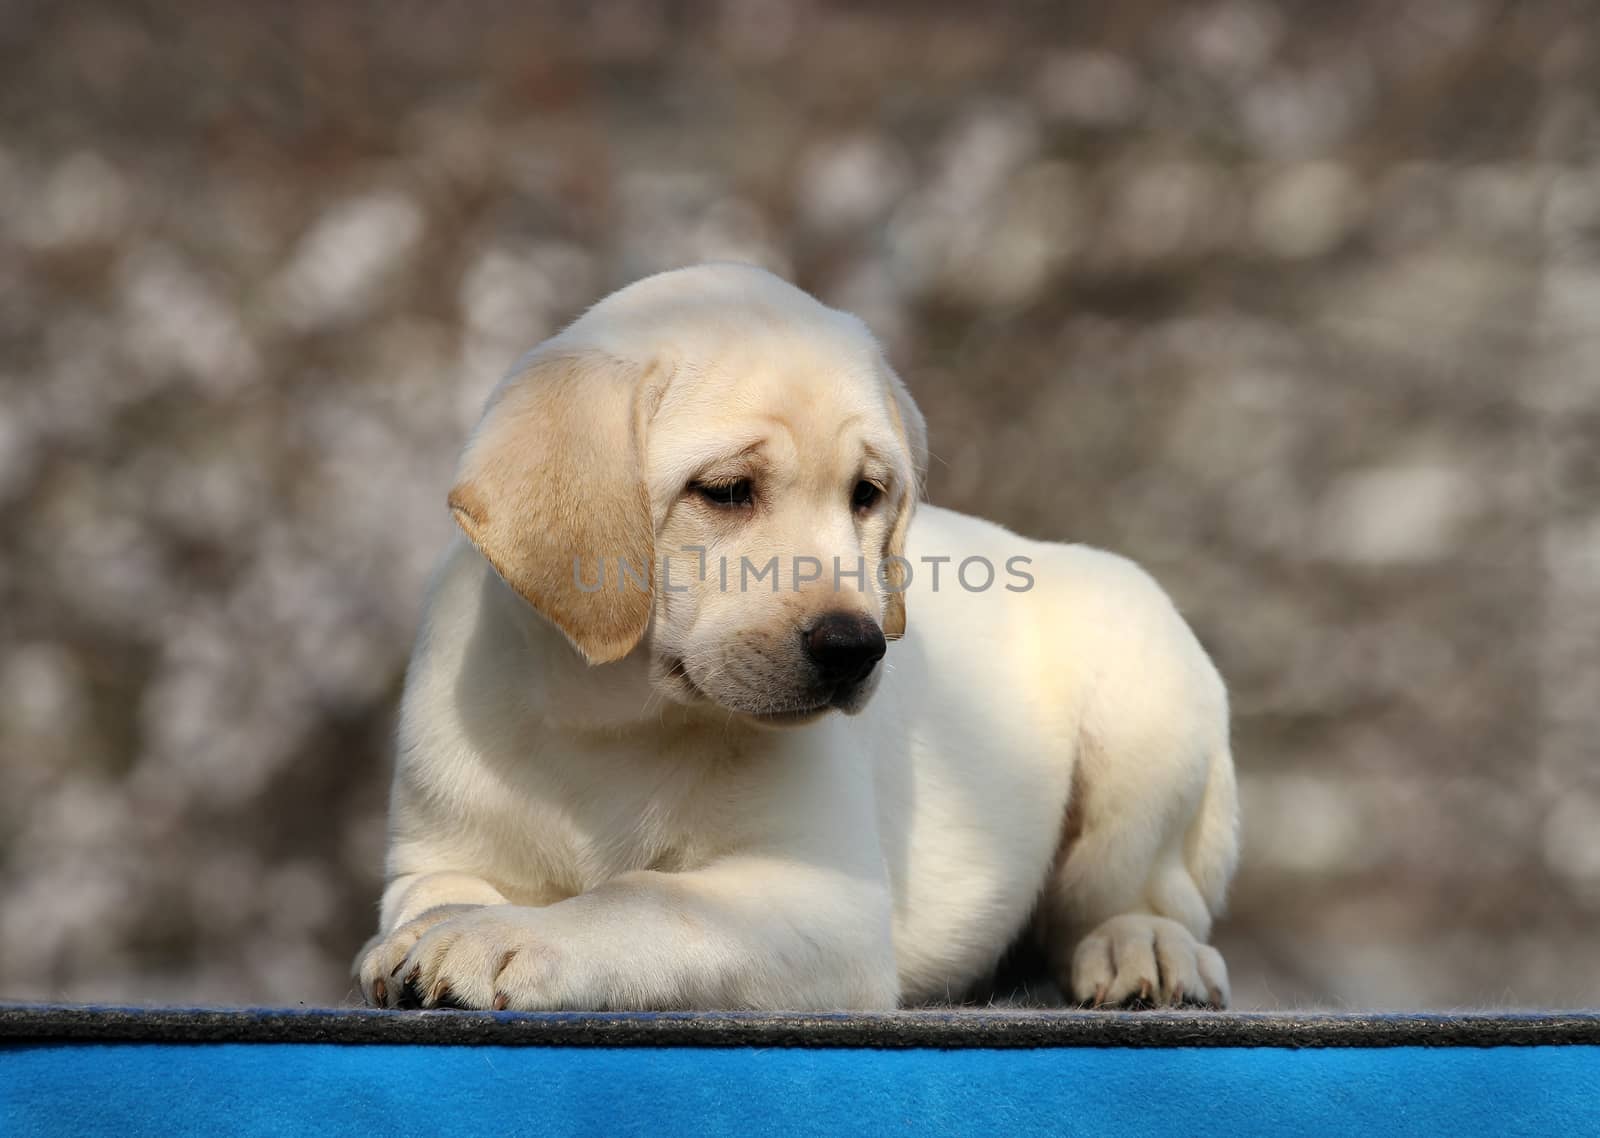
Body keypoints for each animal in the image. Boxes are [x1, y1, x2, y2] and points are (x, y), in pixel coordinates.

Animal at [360, 262, 1235, 1011]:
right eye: (725, 491)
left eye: (867, 494)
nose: (857, 648)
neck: (616, 718)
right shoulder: (437, 855)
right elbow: (437, 897)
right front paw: (432, 934)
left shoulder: (827, 902)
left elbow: (646, 895)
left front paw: (508, 938)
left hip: (1144, 705)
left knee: (1140, 895)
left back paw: (1145, 948)